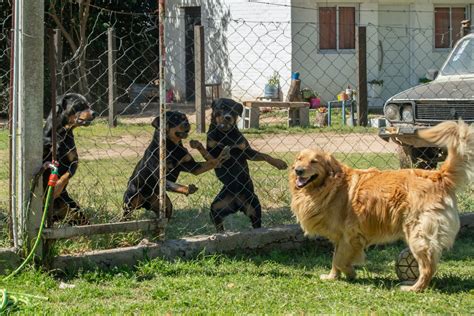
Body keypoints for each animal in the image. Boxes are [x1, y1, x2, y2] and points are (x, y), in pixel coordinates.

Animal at [42, 92, 97, 226]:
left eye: (88, 104)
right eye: (79, 105)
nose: (94, 113)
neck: (62, 133)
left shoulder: (74, 162)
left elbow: (66, 175)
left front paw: (57, 188)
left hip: (75, 210)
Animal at [201, 99, 288, 232]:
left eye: (234, 110)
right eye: (221, 108)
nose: (228, 117)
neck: (225, 134)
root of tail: (238, 204)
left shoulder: (246, 151)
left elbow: (264, 155)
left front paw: (279, 163)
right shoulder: (212, 154)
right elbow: (214, 155)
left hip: (255, 206)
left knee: (256, 223)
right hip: (217, 207)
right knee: (218, 223)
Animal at [288, 120, 474, 292]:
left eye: (314, 161)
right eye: (299, 159)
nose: (298, 170)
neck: (330, 185)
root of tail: (438, 175)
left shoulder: (349, 234)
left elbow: (339, 260)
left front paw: (349, 272)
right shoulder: (341, 237)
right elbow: (335, 259)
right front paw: (333, 277)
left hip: (418, 234)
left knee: (428, 267)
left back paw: (414, 288)